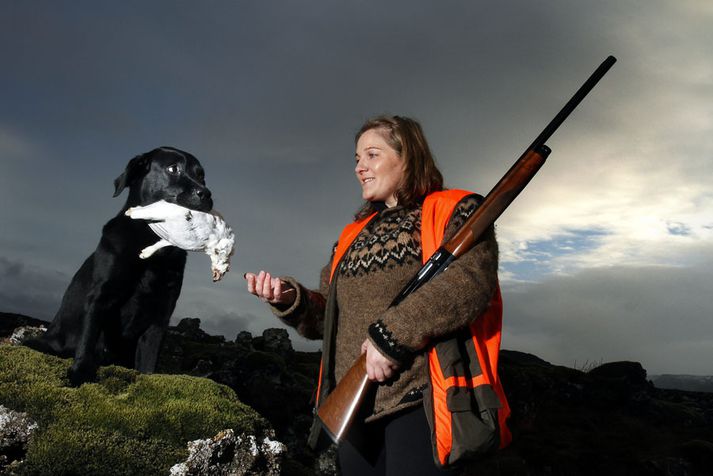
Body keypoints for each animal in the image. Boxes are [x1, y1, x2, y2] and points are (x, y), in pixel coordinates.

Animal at [27, 147, 211, 384]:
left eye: (201, 175)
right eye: (173, 169)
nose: (206, 194)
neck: (152, 246)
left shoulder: (161, 315)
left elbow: (148, 363)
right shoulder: (100, 298)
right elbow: (87, 342)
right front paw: (79, 374)